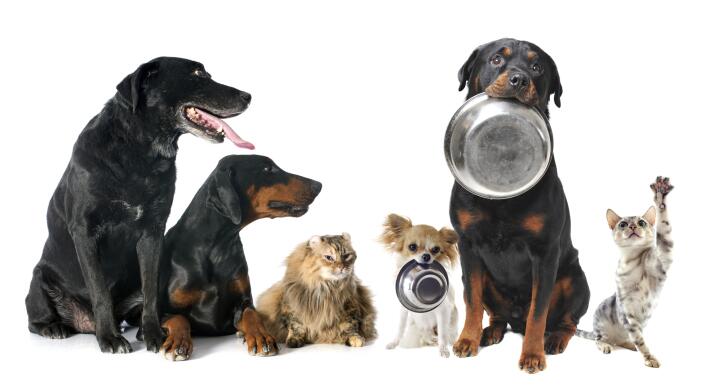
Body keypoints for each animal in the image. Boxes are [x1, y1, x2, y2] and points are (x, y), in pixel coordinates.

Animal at [25, 55, 255, 352]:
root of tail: (84, 325)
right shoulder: (85, 232)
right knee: (35, 319)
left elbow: (150, 290)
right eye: (197, 74)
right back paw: (55, 327)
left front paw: (154, 333)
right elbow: (100, 290)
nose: (247, 96)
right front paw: (110, 337)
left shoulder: (153, 232)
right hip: (38, 279)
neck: (139, 152)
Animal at [160, 154, 324, 360]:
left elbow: (251, 315)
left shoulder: (243, 302)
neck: (216, 246)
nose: (318, 185)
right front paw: (178, 343)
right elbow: (178, 318)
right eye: (267, 169)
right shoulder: (159, 312)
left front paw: (261, 338)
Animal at [450, 39, 592, 372]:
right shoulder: (468, 246)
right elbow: (471, 300)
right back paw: (489, 333)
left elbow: (538, 313)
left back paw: (554, 340)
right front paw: (467, 340)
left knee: (566, 320)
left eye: (536, 66)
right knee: (495, 313)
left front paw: (532, 354)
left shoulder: (545, 252)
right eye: (496, 59)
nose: (519, 79)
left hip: (576, 278)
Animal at [576, 176, 672, 368]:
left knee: (623, 340)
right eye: (623, 224)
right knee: (599, 340)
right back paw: (606, 345)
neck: (635, 262)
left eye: (641, 222)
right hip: (602, 327)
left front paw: (660, 198)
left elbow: (664, 228)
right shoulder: (627, 311)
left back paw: (628, 344)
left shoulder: (664, 259)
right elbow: (640, 340)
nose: (633, 226)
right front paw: (649, 358)